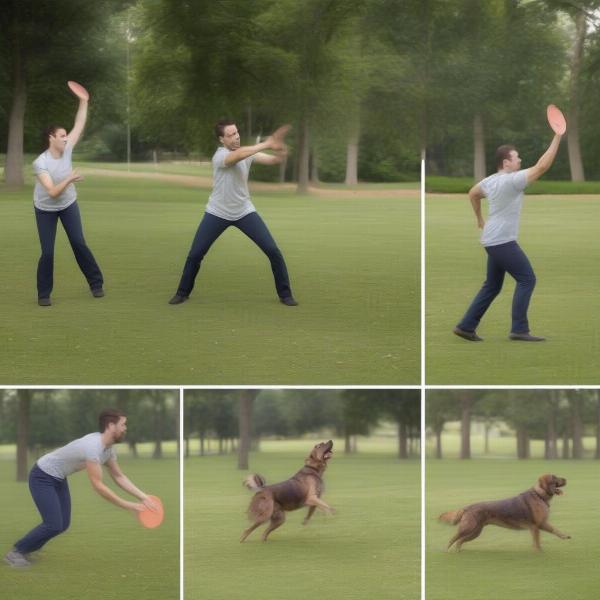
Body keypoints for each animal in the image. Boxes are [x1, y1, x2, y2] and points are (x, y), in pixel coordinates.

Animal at [438, 474, 568, 552]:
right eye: (554, 477)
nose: (566, 479)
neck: (539, 495)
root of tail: (466, 507)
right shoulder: (538, 525)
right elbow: (539, 541)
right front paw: (539, 552)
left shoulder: (540, 525)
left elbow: (554, 531)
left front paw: (564, 536)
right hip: (468, 528)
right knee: (453, 539)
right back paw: (447, 551)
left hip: (475, 532)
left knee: (459, 541)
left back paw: (458, 551)